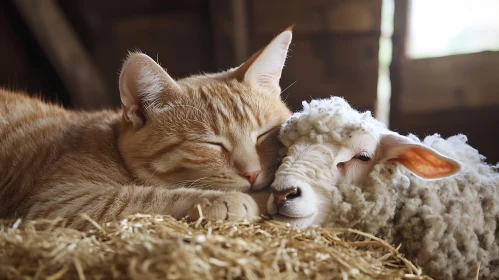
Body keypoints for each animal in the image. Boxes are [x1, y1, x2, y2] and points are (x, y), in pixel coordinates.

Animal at [0, 29, 292, 230]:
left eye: (263, 134)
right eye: (211, 144)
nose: (253, 173)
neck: (113, 148)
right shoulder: (58, 200)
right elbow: (144, 197)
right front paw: (228, 199)